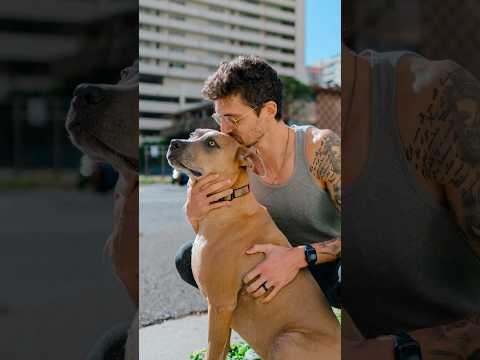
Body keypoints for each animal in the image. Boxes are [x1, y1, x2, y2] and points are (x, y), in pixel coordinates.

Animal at [167, 129, 340, 360]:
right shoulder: (224, 312)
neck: (229, 201)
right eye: (193, 134)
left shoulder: (220, 304)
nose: (173, 143)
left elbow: (213, 351)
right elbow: (222, 350)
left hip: (285, 341)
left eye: (211, 143)